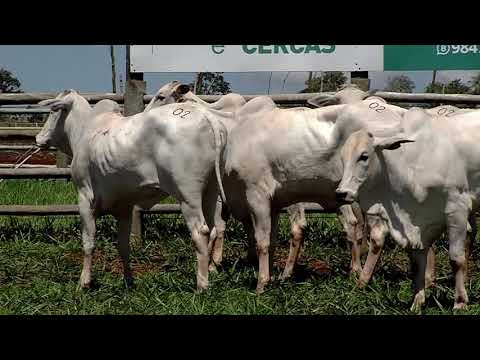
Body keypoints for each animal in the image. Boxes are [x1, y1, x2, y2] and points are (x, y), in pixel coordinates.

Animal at [35, 90, 229, 292]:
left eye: (53, 110)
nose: (38, 138)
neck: (85, 129)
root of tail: (207, 116)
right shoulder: (124, 207)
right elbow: (123, 246)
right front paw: (128, 282)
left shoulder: (84, 198)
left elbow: (88, 243)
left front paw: (84, 282)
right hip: (211, 190)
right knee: (213, 229)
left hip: (188, 195)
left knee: (200, 232)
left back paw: (201, 285)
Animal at [223, 93, 406, 292]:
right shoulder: (274, 203)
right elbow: (272, 241)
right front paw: (271, 278)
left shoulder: (257, 194)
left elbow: (262, 242)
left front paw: (261, 285)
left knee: (378, 234)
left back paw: (361, 282)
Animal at [336, 105, 480, 310]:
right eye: (342, 158)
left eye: (364, 156)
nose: (341, 193)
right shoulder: (419, 224)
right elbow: (418, 262)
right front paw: (417, 302)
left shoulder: (456, 209)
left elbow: (456, 259)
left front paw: (460, 303)